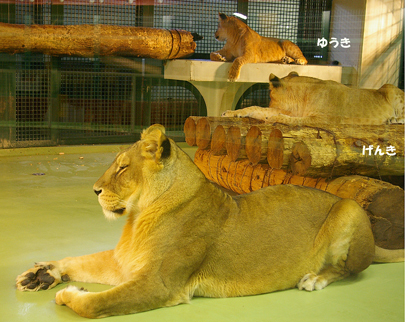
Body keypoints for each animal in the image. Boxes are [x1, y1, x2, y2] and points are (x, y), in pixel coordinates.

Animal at [15, 124, 404, 318]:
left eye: (123, 168)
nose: (94, 190)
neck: (139, 217)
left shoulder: (159, 284)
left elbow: (95, 304)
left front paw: (70, 293)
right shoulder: (124, 262)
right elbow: (80, 260)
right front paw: (42, 274)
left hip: (350, 208)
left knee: (349, 270)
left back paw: (312, 279)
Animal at [223, 73, 404, 124]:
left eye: (271, 97)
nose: (270, 103)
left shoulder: (323, 119)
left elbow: (295, 120)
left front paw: (274, 117)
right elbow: (256, 109)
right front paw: (231, 112)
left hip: (390, 88)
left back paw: (393, 120)